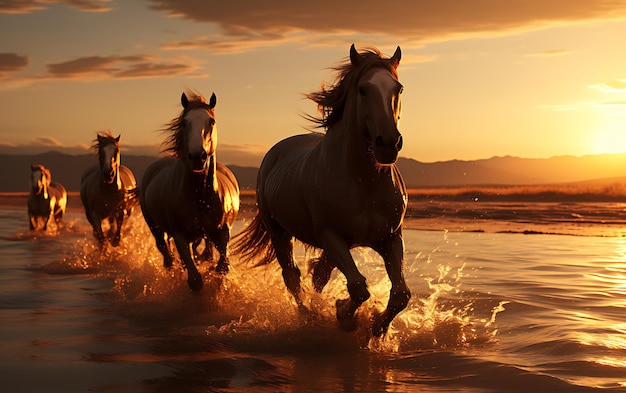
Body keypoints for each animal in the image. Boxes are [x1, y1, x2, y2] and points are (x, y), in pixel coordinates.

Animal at [139, 90, 239, 290]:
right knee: (168, 257)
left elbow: (222, 266)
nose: (197, 157)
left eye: (211, 121)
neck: (200, 196)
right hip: (155, 228)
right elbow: (194, 279)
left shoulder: (222, 232)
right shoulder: (180, 237)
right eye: (185, 122)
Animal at [232, 44, 408, 336]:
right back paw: (309, 315)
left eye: (399, 88)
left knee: (318, 274)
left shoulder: (390, 238)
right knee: (292, 276)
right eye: (363, 89)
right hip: (279, 233)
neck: (364, 183)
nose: (388, 144)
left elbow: (401, 294)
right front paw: (343, 315)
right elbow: (358, 288)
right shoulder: (331, 236)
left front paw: (377, 328)